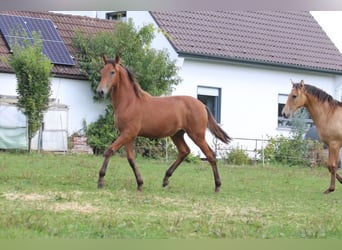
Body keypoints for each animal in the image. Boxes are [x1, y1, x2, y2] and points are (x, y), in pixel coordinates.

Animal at [95, 54, 231, 191]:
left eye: (112, 72)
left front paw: (100, 181)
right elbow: (131, 159)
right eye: (101, 71)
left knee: (210, 155)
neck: (130, 102)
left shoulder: (128, 133)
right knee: (184, 151)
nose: (100, 91)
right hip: (177, 134)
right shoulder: (128, 135)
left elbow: (109, 151)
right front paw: (140, 184)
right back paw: (166, 179)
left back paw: (217, 186)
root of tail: (202, 105)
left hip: (197, 135)